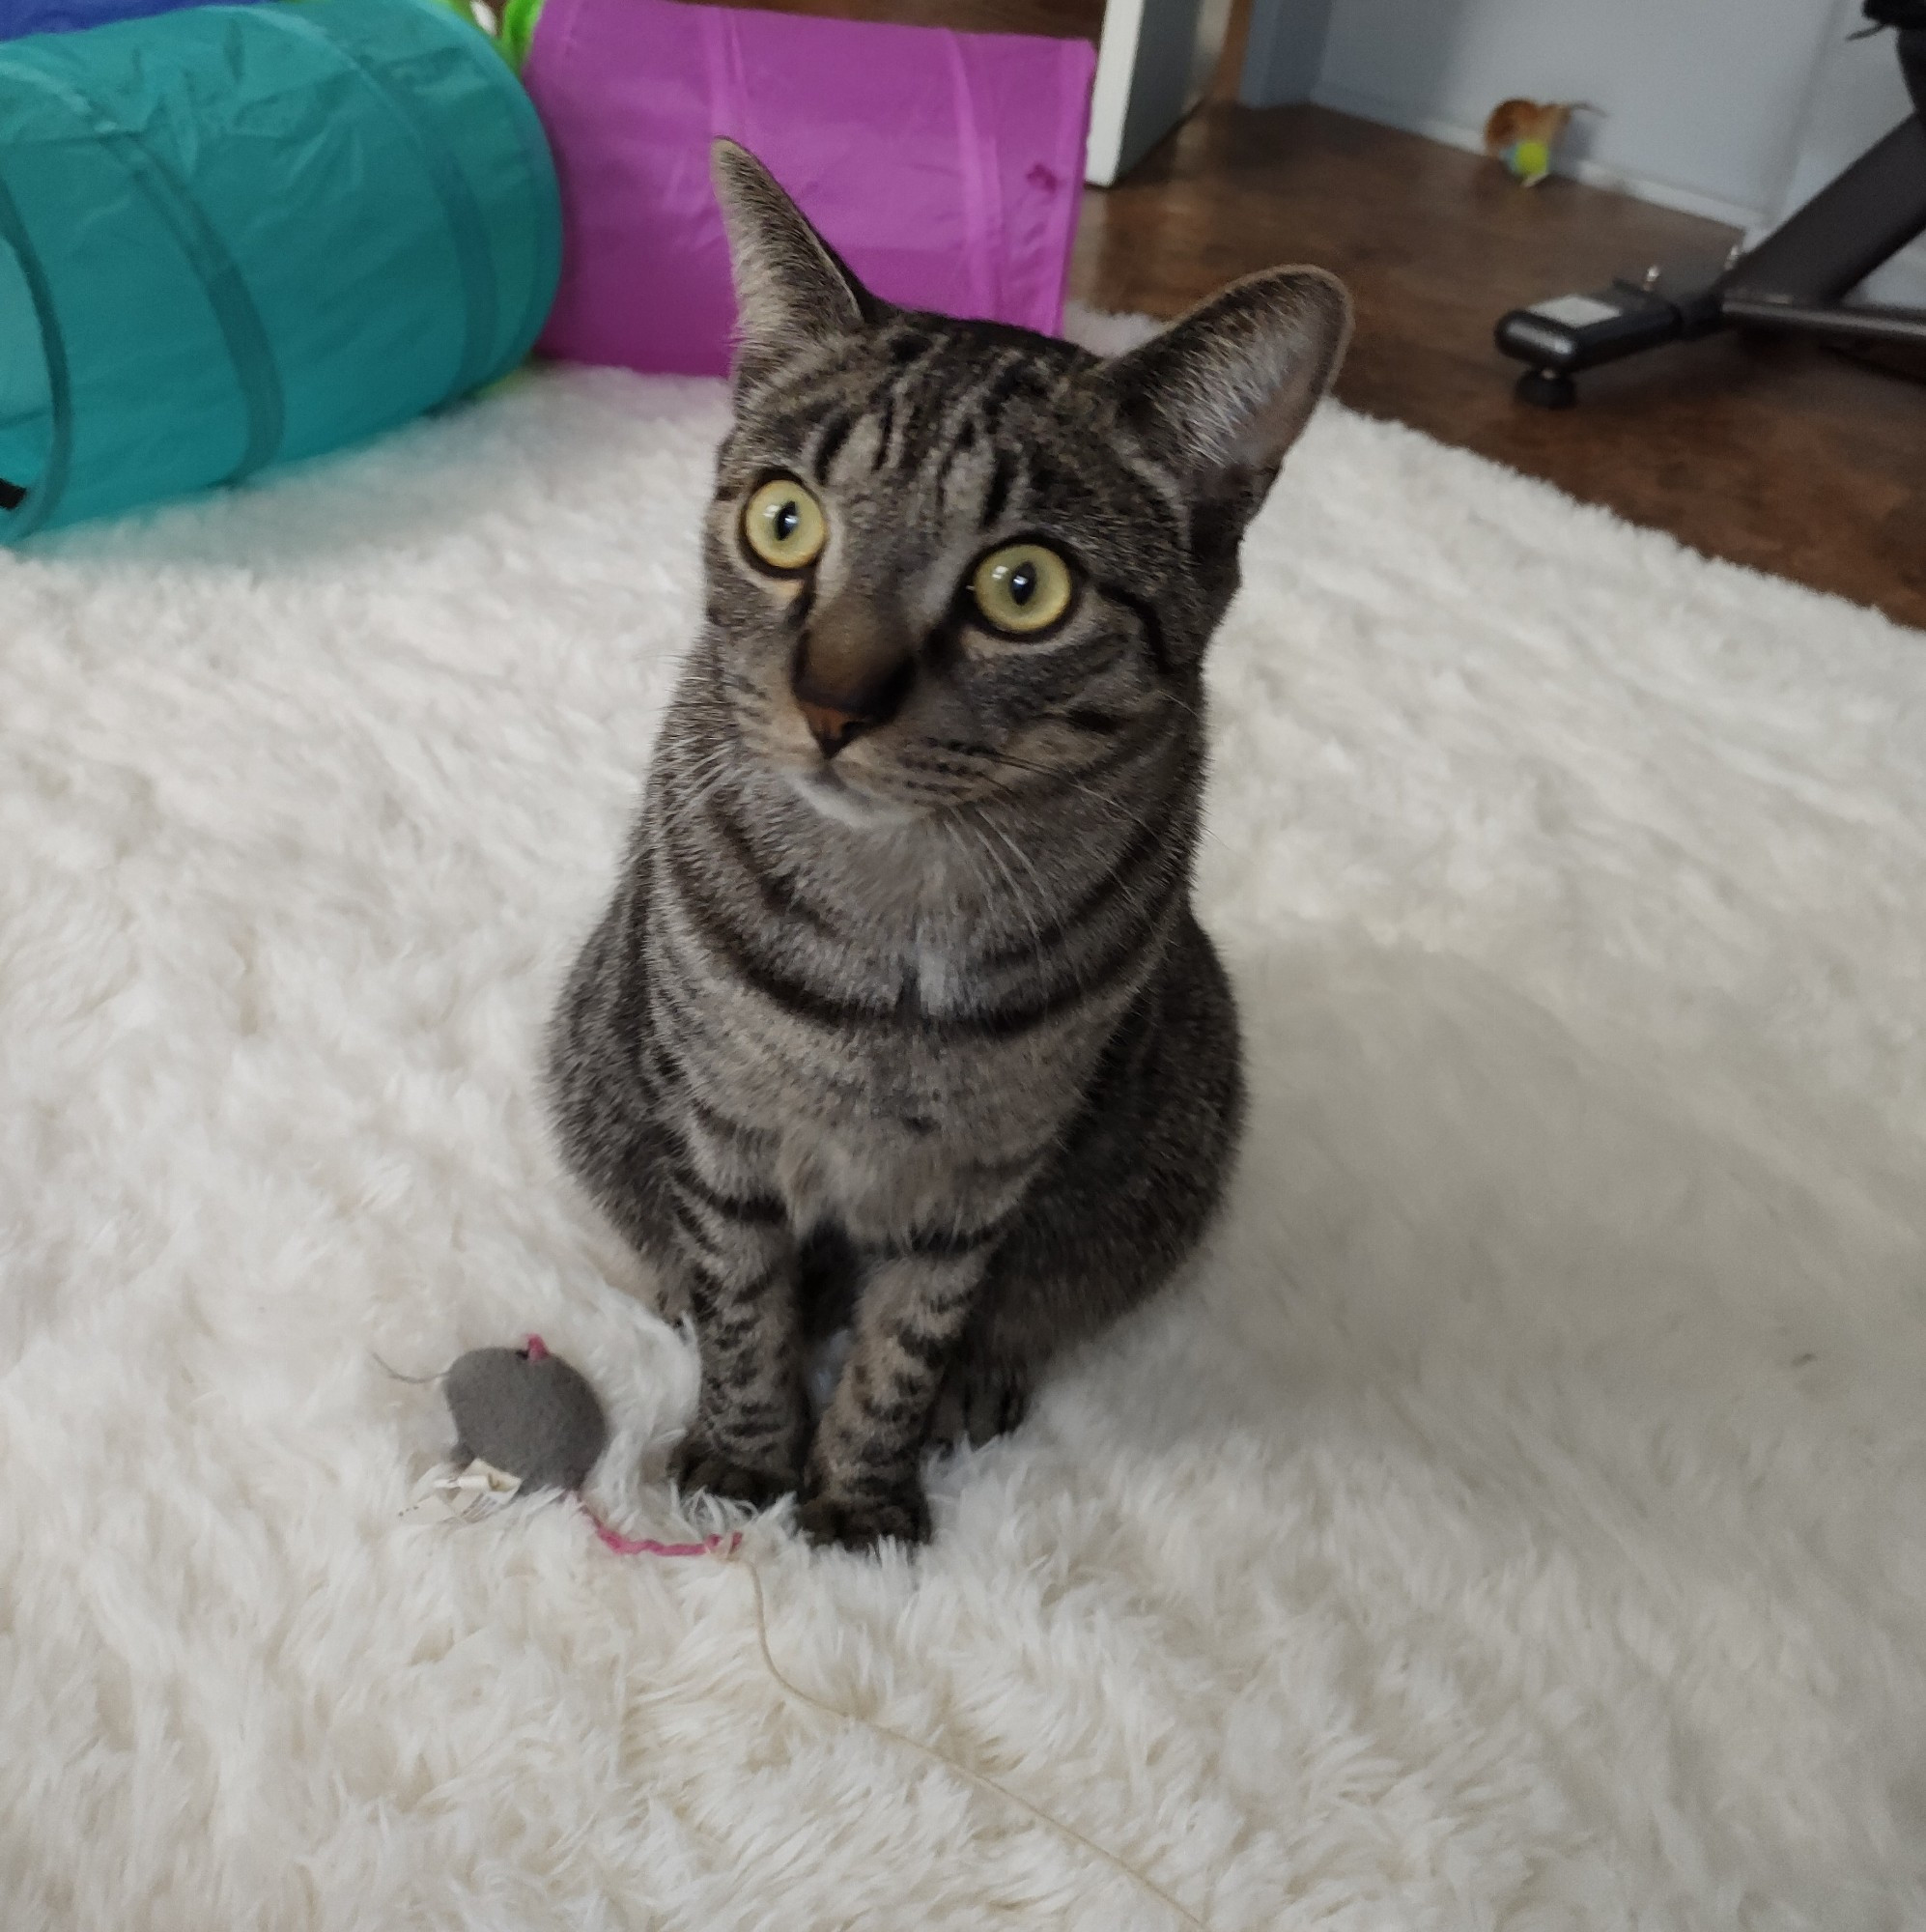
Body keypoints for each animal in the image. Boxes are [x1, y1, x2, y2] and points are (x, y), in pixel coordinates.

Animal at [545, 140, 1352, 1553]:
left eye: (1022, 588)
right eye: (784, 522)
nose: (830, 704)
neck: (900, 913)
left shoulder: (981, 1171)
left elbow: (905, 1340)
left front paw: (857, 1500)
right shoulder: (724, 1127)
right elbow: (747, 1304)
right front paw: (743, 1459)